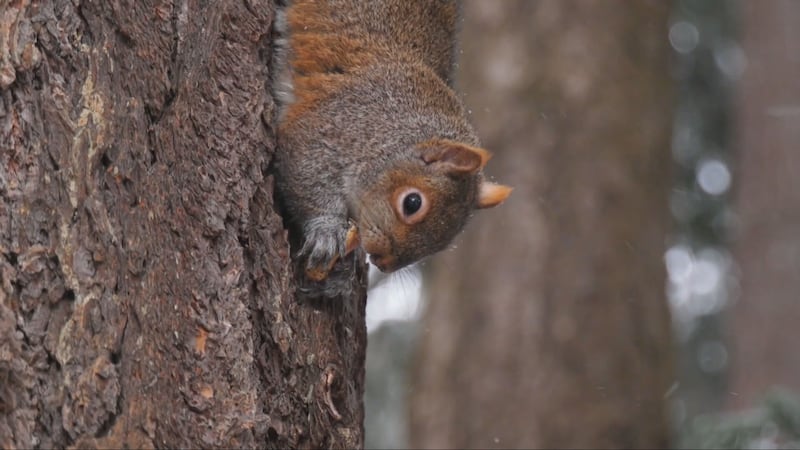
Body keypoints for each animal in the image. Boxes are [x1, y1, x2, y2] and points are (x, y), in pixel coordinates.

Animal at [273, 0, 512, 297]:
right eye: (412, 203)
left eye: (445, 242)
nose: (382, 262)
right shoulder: (334, 122)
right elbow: (305, 167)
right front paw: (326, 231)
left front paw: (341, 278)